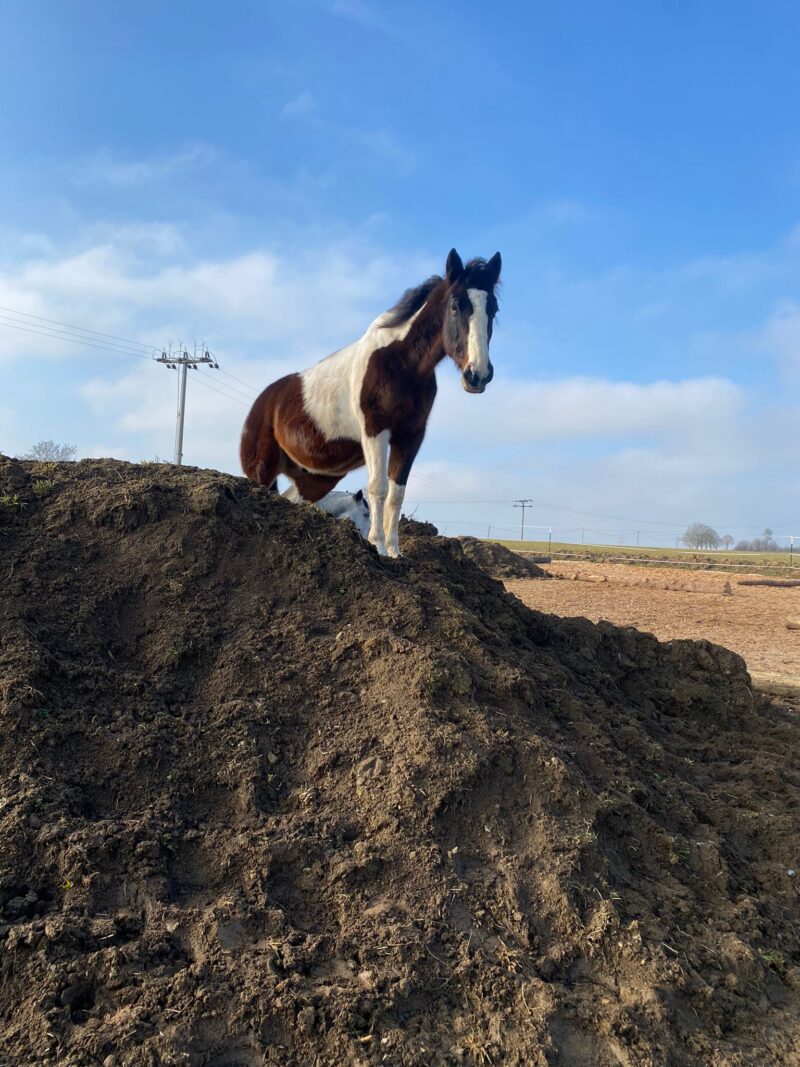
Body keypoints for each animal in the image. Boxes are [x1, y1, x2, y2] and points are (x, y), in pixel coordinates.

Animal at [240, 248, 501, 557]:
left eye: (493, 309)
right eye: (454, 307)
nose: (478, 375)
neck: (400, 364)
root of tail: (265, 400)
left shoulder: (411, 436)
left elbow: (397, 493)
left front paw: (394, 552)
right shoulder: (376, 431)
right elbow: (378, 488)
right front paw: (376, 546)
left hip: (314, 478)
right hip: (261, 470)